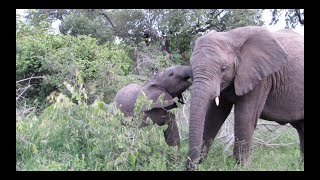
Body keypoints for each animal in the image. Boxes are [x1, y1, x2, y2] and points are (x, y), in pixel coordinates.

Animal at [186, 26, 304, 169]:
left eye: (223, 68)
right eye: (191, 66)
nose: (191, 165)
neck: (230, 36)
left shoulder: (261, 78)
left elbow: (244, 116)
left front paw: (241, 166)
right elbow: (213, 115)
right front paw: (200, 163)